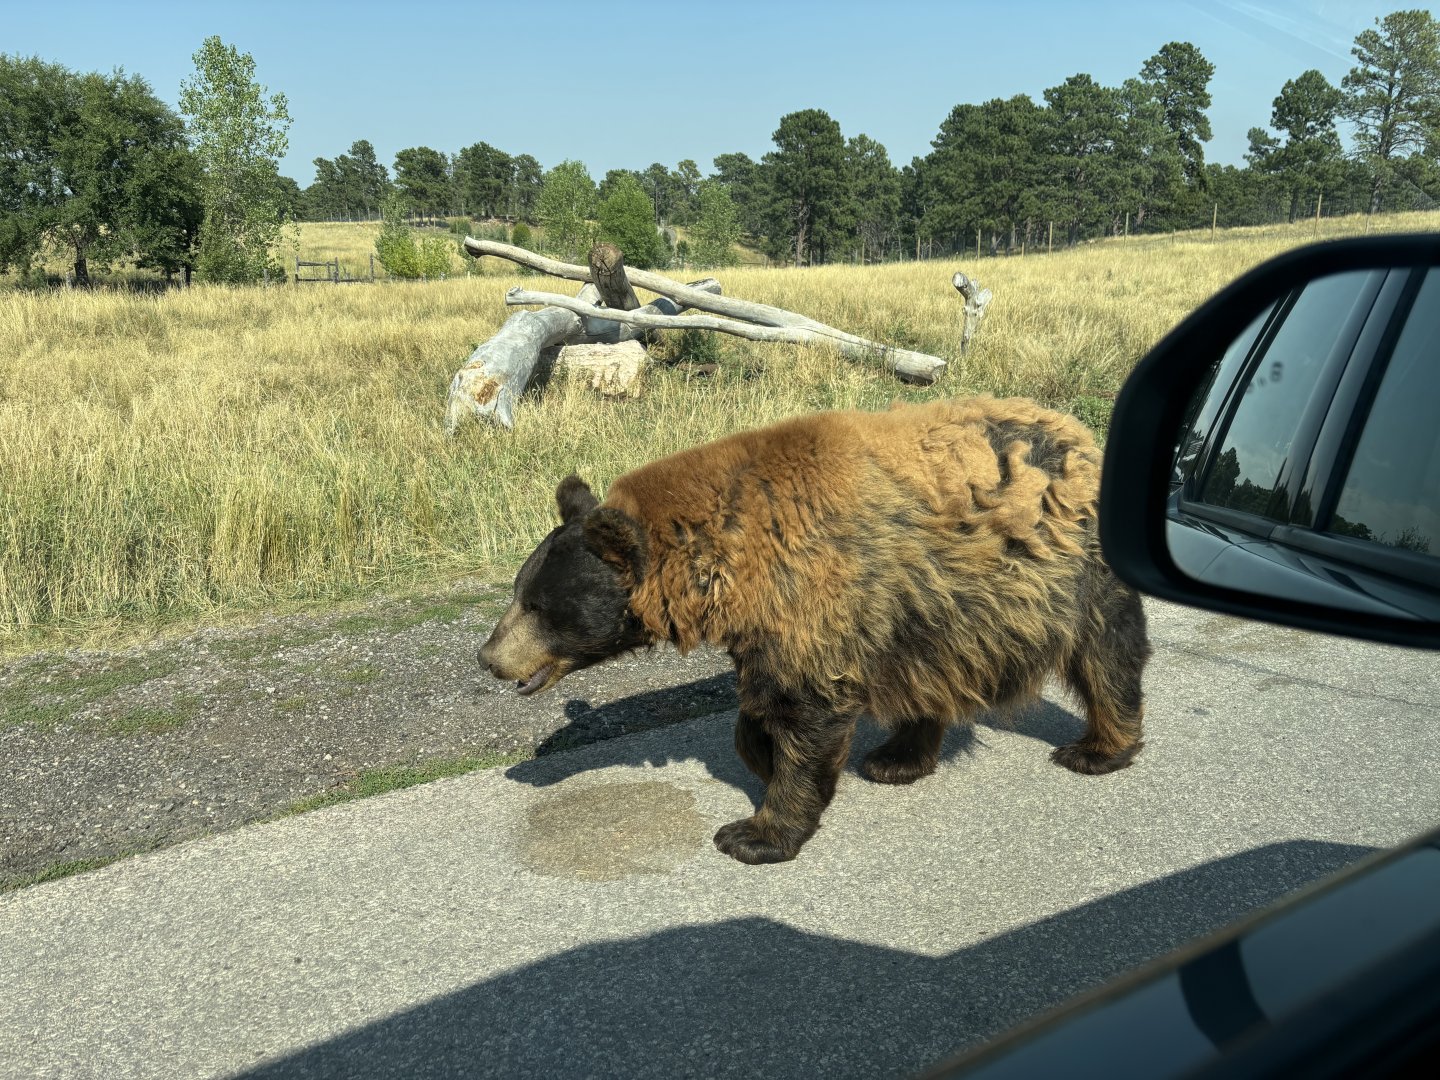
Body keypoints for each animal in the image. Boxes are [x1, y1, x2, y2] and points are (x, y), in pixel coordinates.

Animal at [479, 396, 1151, 865]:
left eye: (539, 604)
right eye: (518, 589)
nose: (488, 656)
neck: (728, 565)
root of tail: (1078, 431)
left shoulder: (812, 593)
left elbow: (809, 708)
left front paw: (756, 831)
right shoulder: (771, 625)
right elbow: (765, 705)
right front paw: (760, 756)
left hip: (1070, 568)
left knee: (1106, 653)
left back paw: (1098, 748)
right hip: (929, 609)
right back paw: (898, 758)